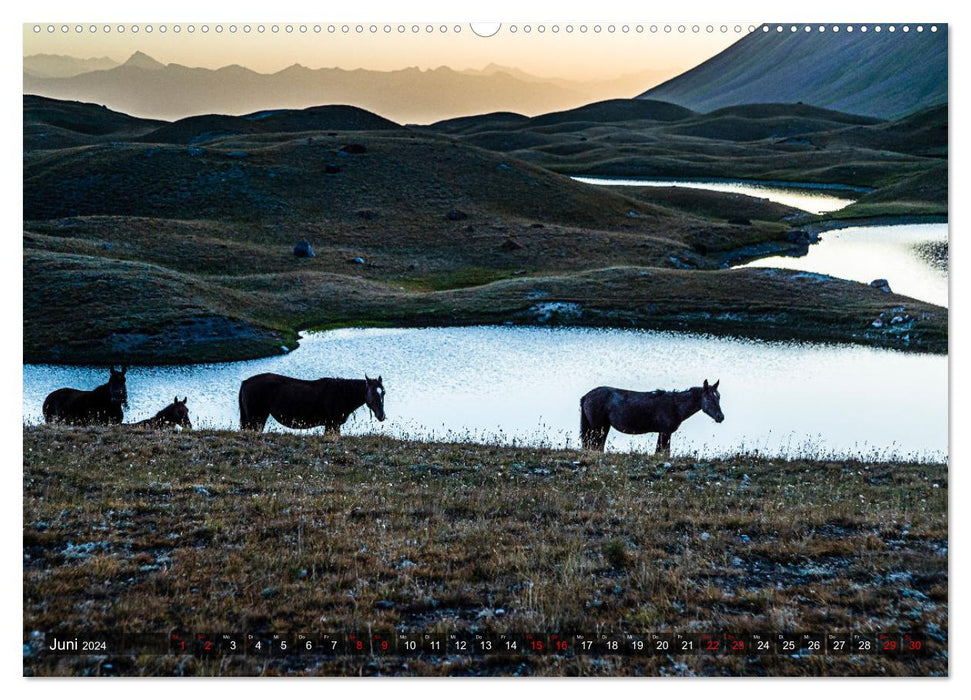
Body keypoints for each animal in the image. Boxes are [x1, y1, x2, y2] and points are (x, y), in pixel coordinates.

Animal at [237, 372, 386, 432]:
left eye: (383, 392)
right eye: (373, 393)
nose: (381, 416)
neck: (342, 394)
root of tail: (245, 382)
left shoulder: (331, 425)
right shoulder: (332, 424)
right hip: (254, 419)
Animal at [580, 378, 724, 454]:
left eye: (719, 397)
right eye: (709, 398)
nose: (720, 417)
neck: (675, 405)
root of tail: (586, 396)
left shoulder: (662, 433)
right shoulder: (665, 432)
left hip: (603, 427)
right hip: (597, 428)